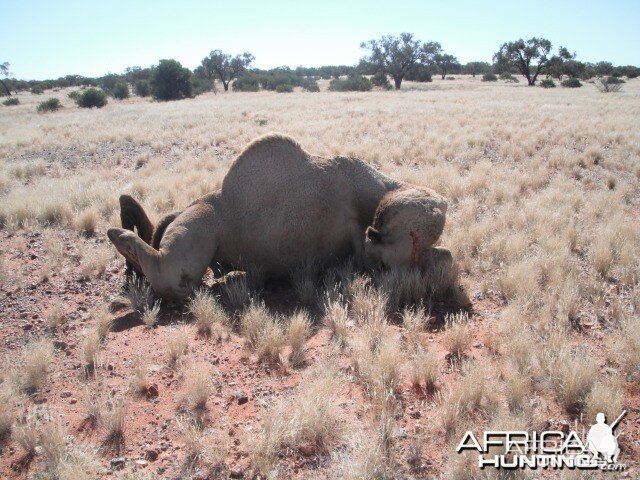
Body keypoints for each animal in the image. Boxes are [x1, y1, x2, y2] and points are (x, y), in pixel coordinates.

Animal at [111, 135, 460, 300]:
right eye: (407, 242)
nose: (374, 241)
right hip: (202, 227)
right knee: (171, 276)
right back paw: (121, 232)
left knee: (170, 278)